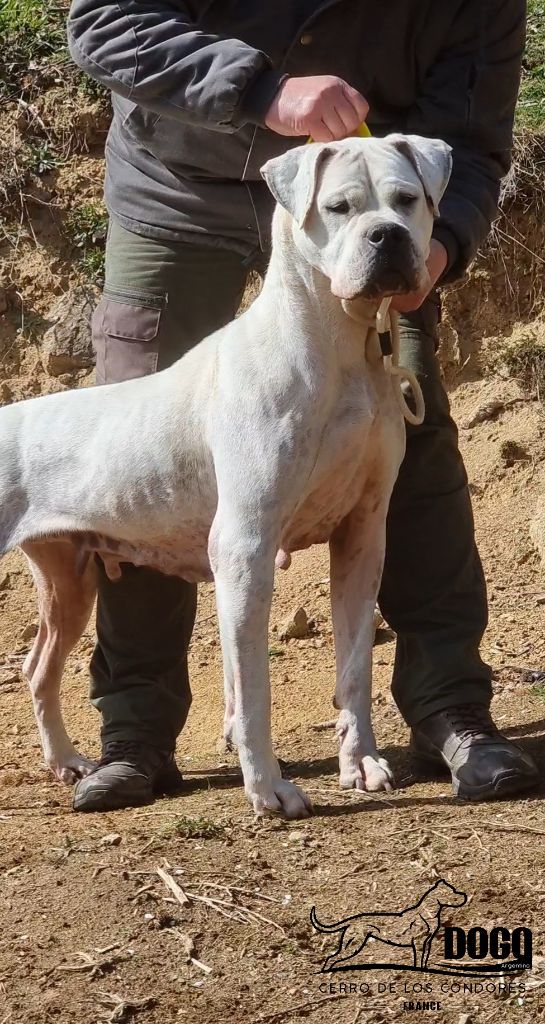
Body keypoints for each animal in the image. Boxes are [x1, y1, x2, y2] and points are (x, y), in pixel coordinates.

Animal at [0, 134, 450, 815]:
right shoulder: (245, 545)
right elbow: (253, 687)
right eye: (340, 207)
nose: (389, 236)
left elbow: (354, 667)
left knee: (38, 670)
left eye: (406, 200)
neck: (337, 347)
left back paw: (68, 764)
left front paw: (362, 762)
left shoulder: (362, 537)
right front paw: (267, 789)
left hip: (69, 585)